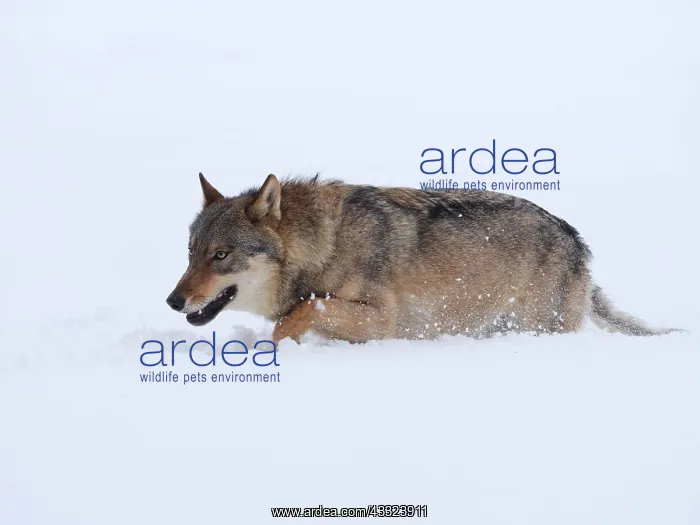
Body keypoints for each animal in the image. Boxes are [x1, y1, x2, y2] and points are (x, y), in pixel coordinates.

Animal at [166, 173, 681, 343]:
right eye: (190, 255)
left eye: (221, 255)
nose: (173, 301)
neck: (325, 245)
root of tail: (576, 240)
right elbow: (303, 310)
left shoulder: (382, 321)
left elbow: (303, 310)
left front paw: (275, 348)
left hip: (538, 326)